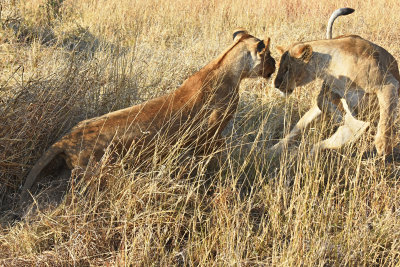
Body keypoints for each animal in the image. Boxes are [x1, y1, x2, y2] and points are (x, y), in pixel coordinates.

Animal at [21, 29, 276, 205]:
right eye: (270, 55)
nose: (274, 64)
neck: (227, 65)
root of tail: (67, 138)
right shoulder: (210, 136)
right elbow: (215, 156)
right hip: (98, 172)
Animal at [270, 7, 398, 157]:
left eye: (287, 69)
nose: (276, 85)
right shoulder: (329, 89)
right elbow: (321, 101)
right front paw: (338, 115)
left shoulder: (388, 84)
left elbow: (387, 113)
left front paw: (383, 144)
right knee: (297, 132)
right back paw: (271, 151)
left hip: (351, 132)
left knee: (318, 146)